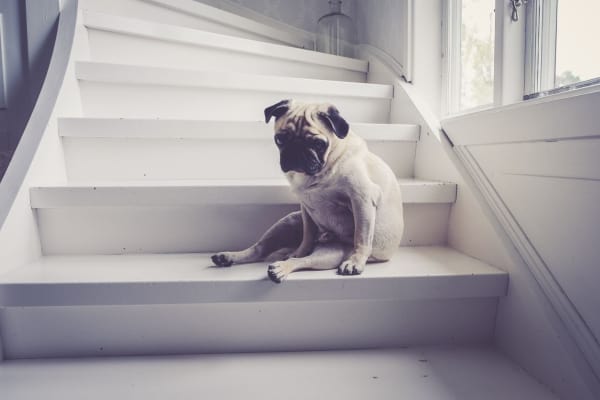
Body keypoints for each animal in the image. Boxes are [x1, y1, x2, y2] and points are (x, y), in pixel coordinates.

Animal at [211, 99, 404, 282]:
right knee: (260, 250)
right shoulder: (306, 208)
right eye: (280, 139)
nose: (296, 149)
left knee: (303, 261)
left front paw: (355, 262)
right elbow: (307, 235)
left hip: (331, 254)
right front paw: (301, 250)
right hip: (288, 221)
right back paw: (229, 257)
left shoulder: (362, 199)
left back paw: (281, 269)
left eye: (318, 143)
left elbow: (362, 237)